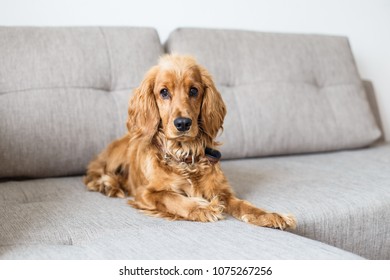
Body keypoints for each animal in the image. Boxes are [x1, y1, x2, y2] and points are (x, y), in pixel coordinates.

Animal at [83, 54, 296, 230]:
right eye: (164, 92)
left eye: (194, 90)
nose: (183, 123)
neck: (184, 156)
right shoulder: (145, 192)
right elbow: (170, 197)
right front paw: (202, 208)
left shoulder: (221, 191)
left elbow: (244, 205)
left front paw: (272, 215)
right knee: (94, 174)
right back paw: (108, 184)